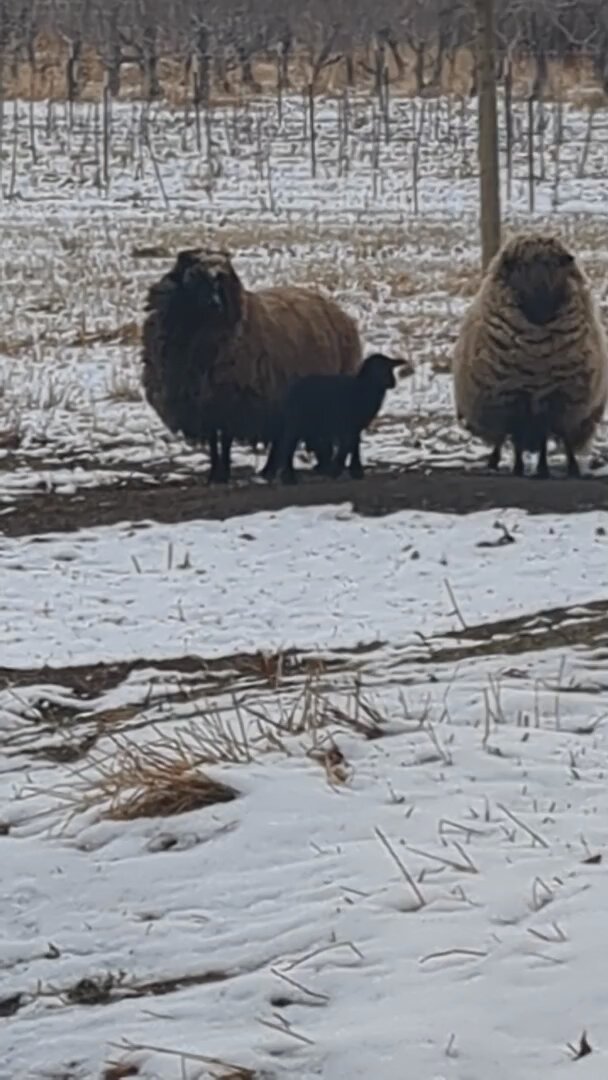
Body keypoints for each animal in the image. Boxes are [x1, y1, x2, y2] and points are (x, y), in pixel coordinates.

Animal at [141, 248, 362, 483]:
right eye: (194, 278)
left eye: (221, 280)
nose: (216, 304)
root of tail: (339, 311)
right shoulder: (208, 406)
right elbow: (213, 442)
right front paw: (215, 474)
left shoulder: (231, 399)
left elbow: (225, 441)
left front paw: (222, 473)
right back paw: (275, 469)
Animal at [262, 352, 405, 485]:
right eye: (378, 368)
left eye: (390, 368)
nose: (392, 382)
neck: (364, 389)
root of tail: (288, 392)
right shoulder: (348, 424)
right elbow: (348, 445)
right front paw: (338, 469)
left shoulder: (355, 426)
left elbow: (354, 444)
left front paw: (353, 470)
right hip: (297, 422)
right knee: (287, 445)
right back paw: (289, 478)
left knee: (283, 443)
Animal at [452, 232, 608, 478]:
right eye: (523, 265)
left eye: (556, 264)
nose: (541, 307)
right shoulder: (514, 398)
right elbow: (516, 439)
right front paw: (518, 468)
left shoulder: (555, 400)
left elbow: (548, 439)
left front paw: (546, 469)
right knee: (502, 438)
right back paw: (494, 461)